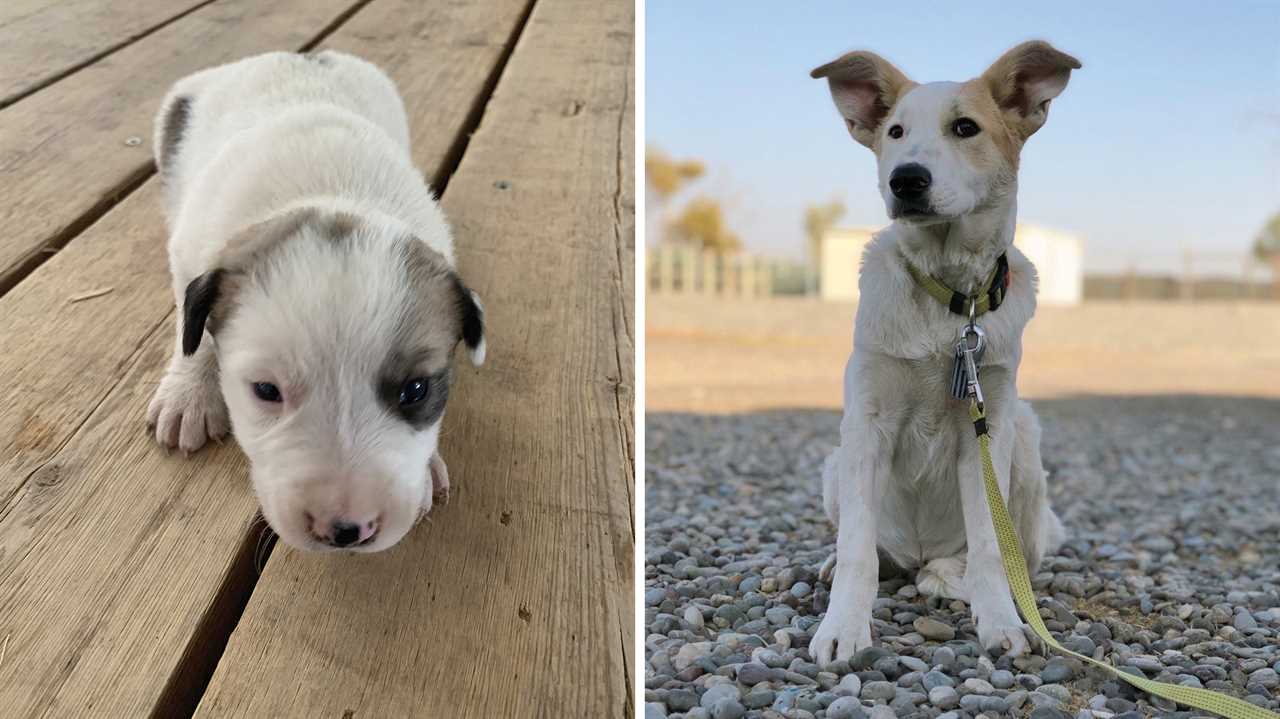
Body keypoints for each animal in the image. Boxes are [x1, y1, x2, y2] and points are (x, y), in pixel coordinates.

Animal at [145, 51, 483, 555]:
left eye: (417, 390)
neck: (327, 190)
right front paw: (188, 393)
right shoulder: (189, 254)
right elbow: (194, 335)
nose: (344, 530)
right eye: (266, 390)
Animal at [808, 40, 1080, 660]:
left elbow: (990, 546)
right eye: (895, 132)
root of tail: (922, 553)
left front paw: (1000, 619)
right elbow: (857, 548)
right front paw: (843, 627)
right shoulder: (866, 422)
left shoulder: (990, 422)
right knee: (874, 550)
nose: (906, 180)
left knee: (1001, 556)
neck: (949, 300)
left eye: (965, 128)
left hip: (1026, 440)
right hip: (836, 461)